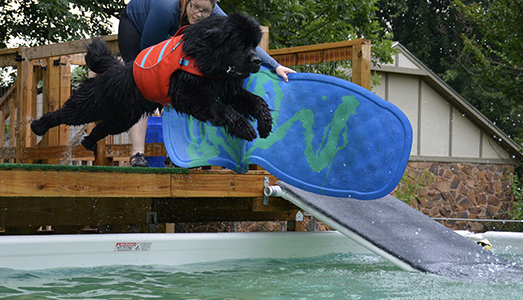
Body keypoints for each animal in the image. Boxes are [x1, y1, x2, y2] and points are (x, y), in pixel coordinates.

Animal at [31, 13, 274, 152]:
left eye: (253, 44)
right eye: (239, 43)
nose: (257, 61)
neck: (205, 59)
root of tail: (114, 69)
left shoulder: (230, 90)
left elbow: (257, 101)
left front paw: (265, 124)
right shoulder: (190, 97)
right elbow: (222, 109)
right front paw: (244, 127)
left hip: (124, 116)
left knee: (103, 127)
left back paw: (88, 143)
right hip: (93, 103)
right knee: (66, 114)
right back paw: (38, 125)